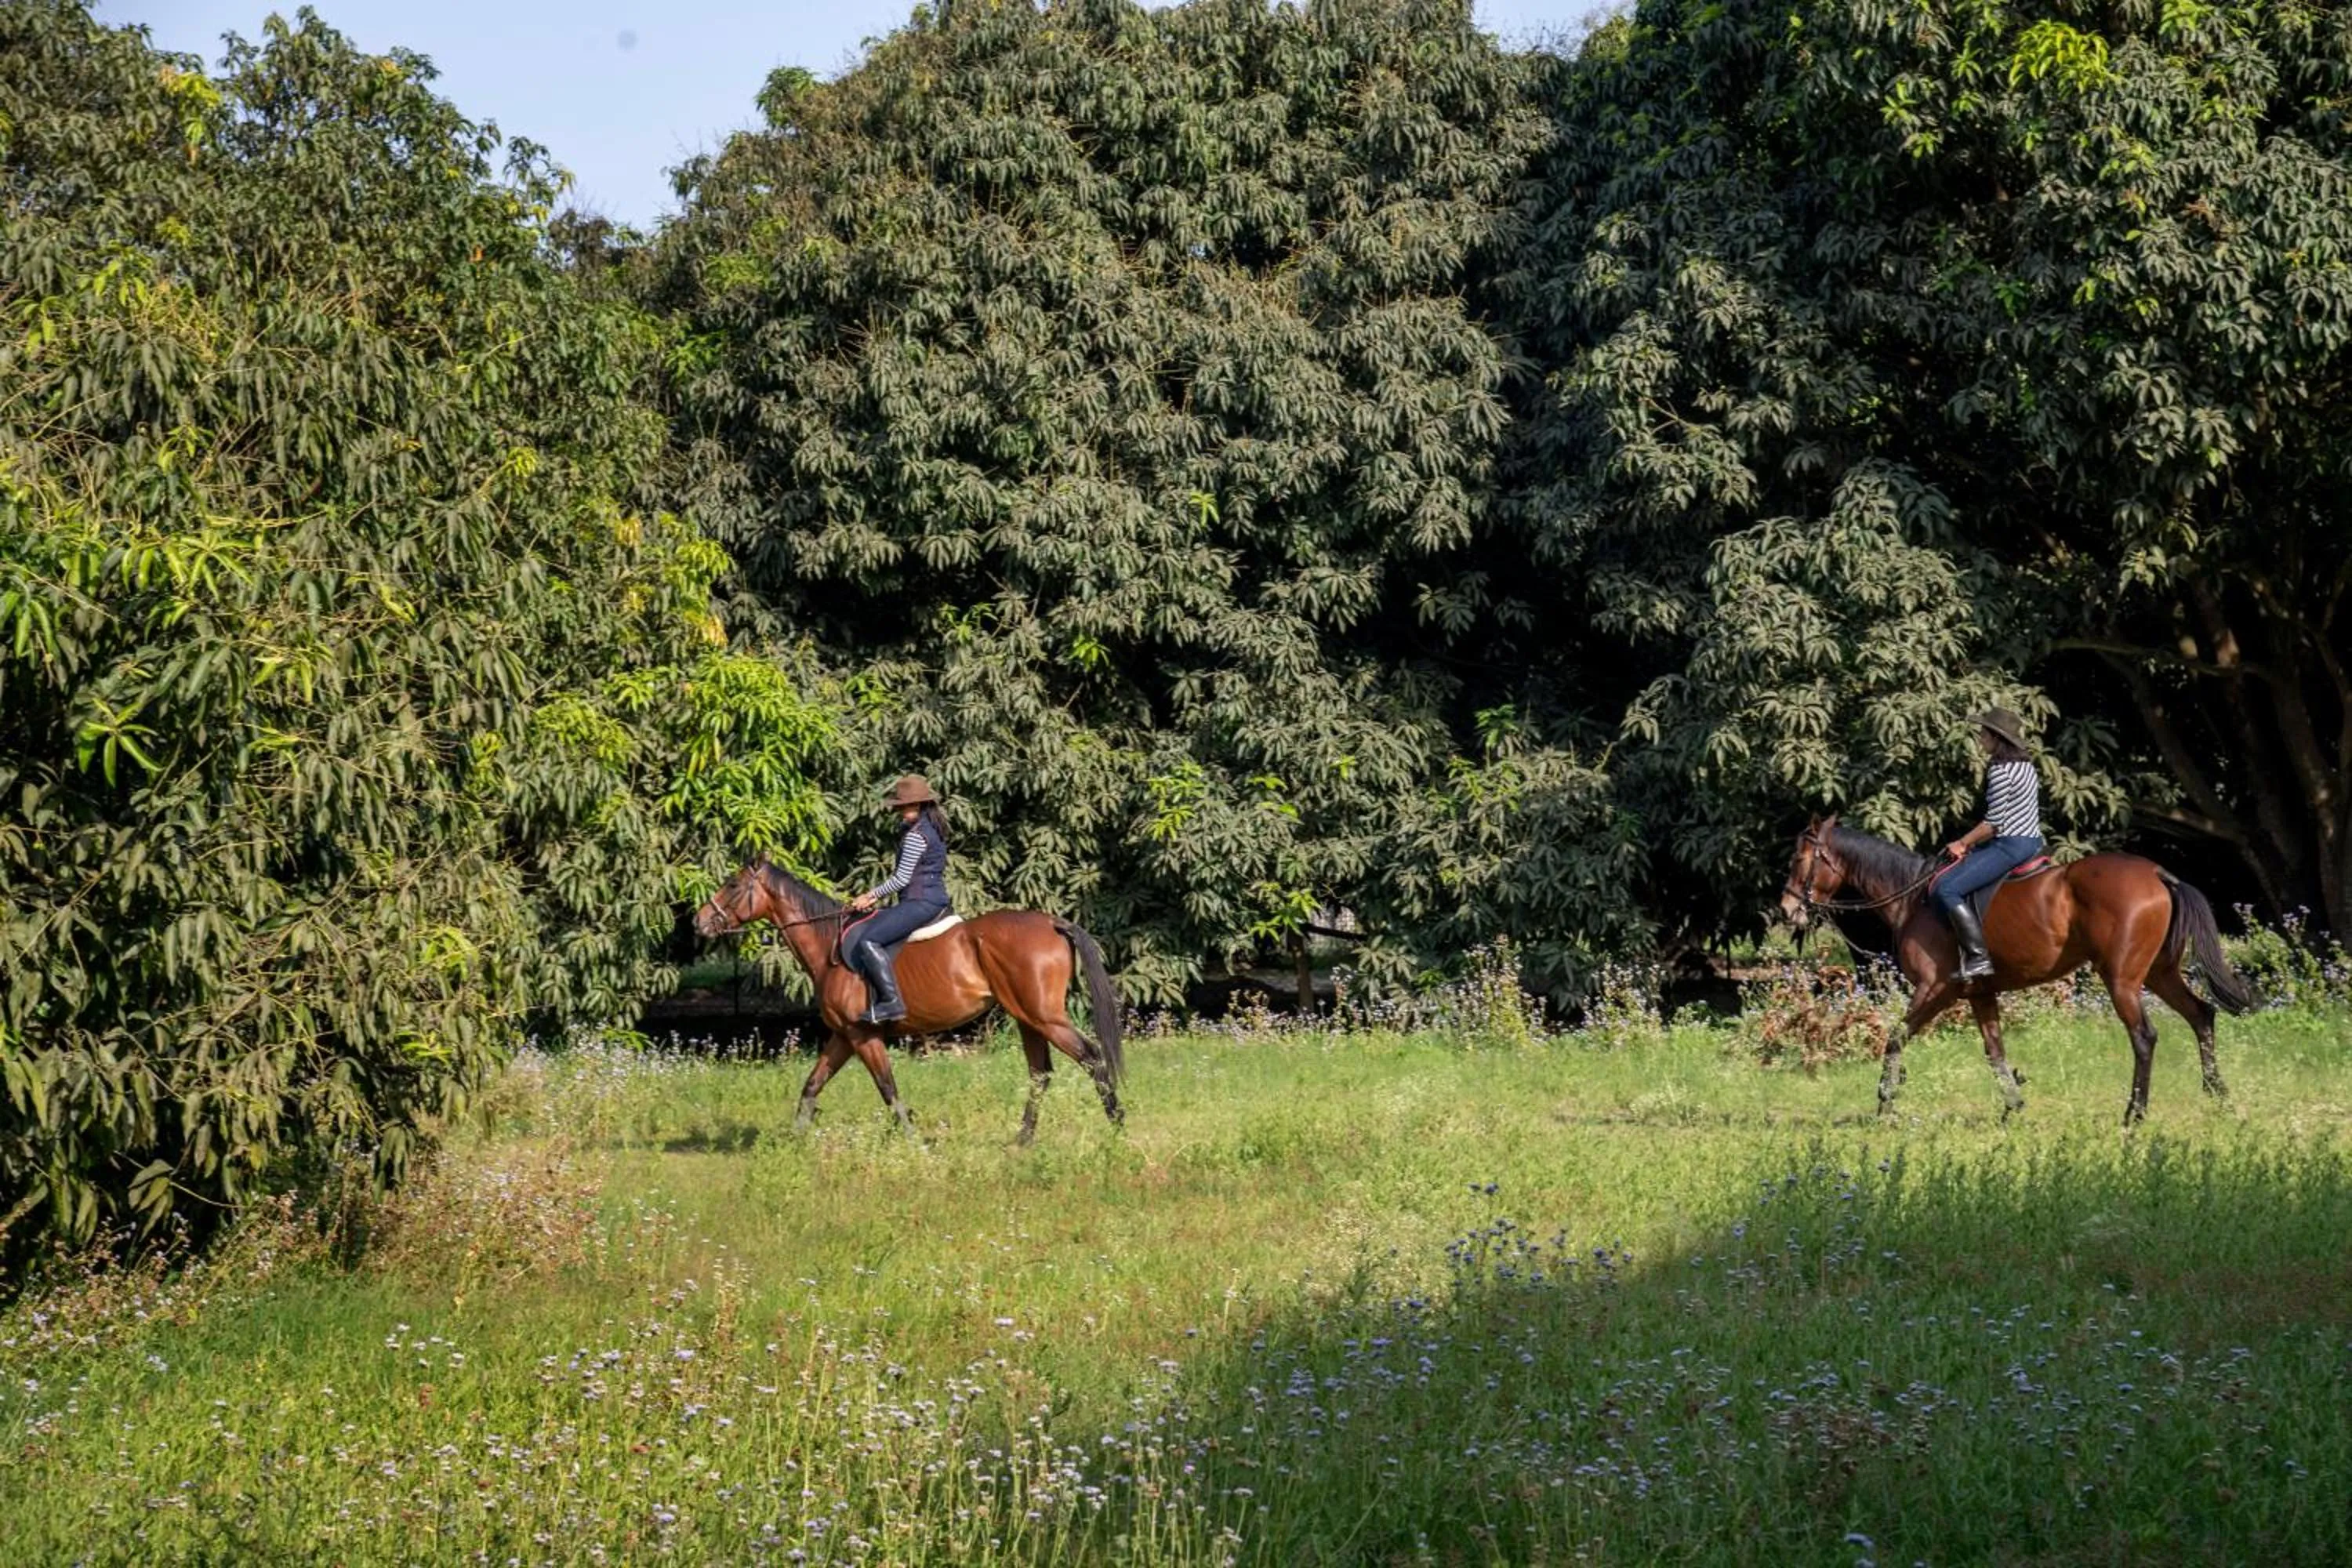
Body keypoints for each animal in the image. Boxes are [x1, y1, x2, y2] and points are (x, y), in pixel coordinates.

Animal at [692, 859, 1126, 1142]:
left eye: (733, 886)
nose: (699, 921)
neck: (828, 944)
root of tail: (1053, 922)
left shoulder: (864, 1036)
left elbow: (888, 1089)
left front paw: (914, 1141)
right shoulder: (844, 1036)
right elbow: (812, 1085)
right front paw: (795, 1140)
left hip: (1044, 1017)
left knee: (1091, 1058)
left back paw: (1118, 1128)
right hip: (1027, 1019)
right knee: (1040, 1073)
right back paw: (1022, 1140)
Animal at [1778, 816, 2255, 1124]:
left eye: (1799, 861)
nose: (1786, 910)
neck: (1912, 898)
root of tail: (2157, 873)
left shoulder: (1935, 989)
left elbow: (1895, 1038)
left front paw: (1885, 1102)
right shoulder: (1980, 994)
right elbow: (1995, 1051)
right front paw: (2013, 1105)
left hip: (2121, 979)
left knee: (2144, 1037)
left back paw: (2135, 1113)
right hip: (2158, 973)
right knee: (2201, 1015)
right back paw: (2220, 1098)